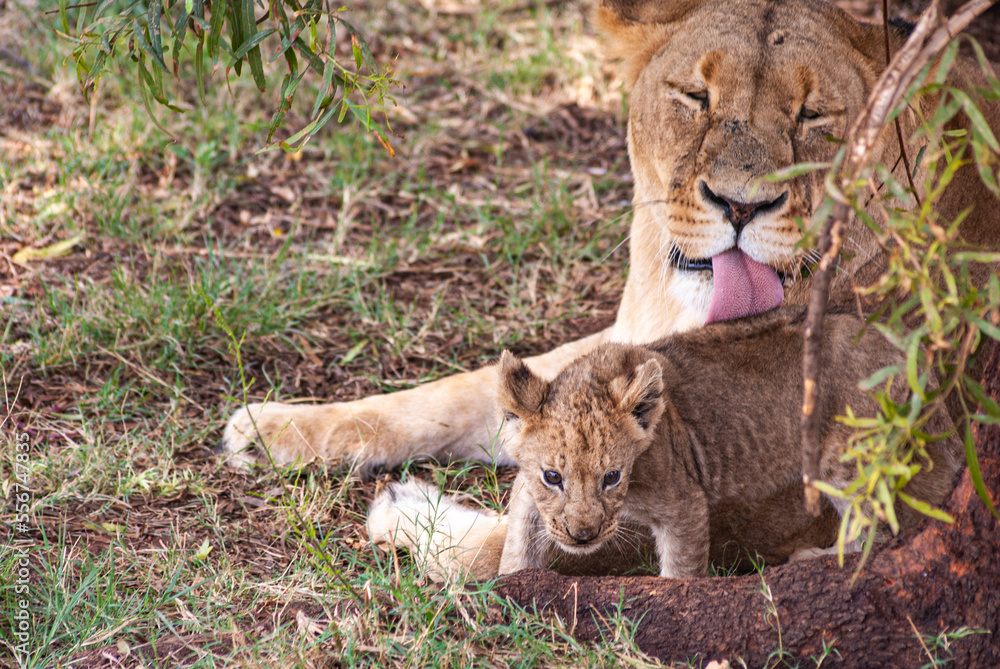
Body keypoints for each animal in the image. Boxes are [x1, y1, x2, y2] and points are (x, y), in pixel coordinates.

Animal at [227, 0, 999, 572]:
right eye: (695, 96)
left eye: (813, 117)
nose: (740, 205)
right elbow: (453, 394)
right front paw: (271, 428)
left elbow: (511, 545)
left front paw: (407, 510)